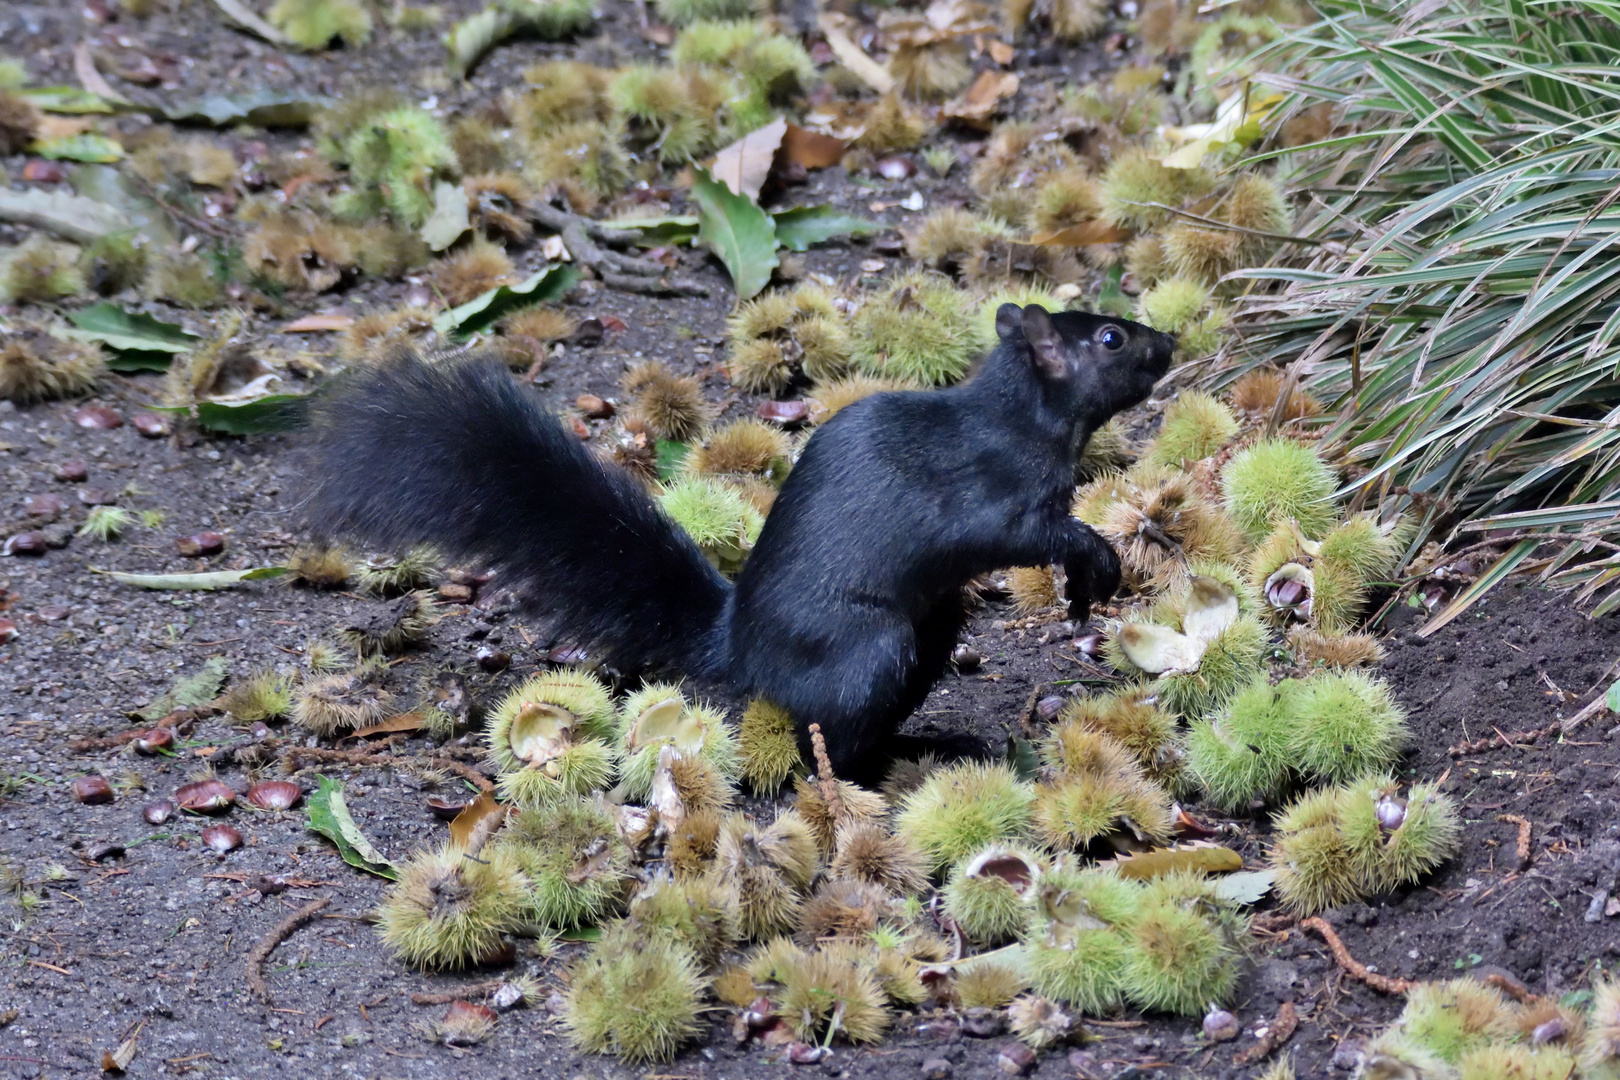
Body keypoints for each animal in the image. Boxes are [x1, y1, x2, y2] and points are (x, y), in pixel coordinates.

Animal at [298, 304, 1172, 777]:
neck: (1022, 413)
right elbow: (1026, 533)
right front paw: (1093, 562)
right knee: (830, 737)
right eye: (1110, 339)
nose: (1168, 342)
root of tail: (739, 648)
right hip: (867, 646)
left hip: (932, 627)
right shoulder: (989, 495)